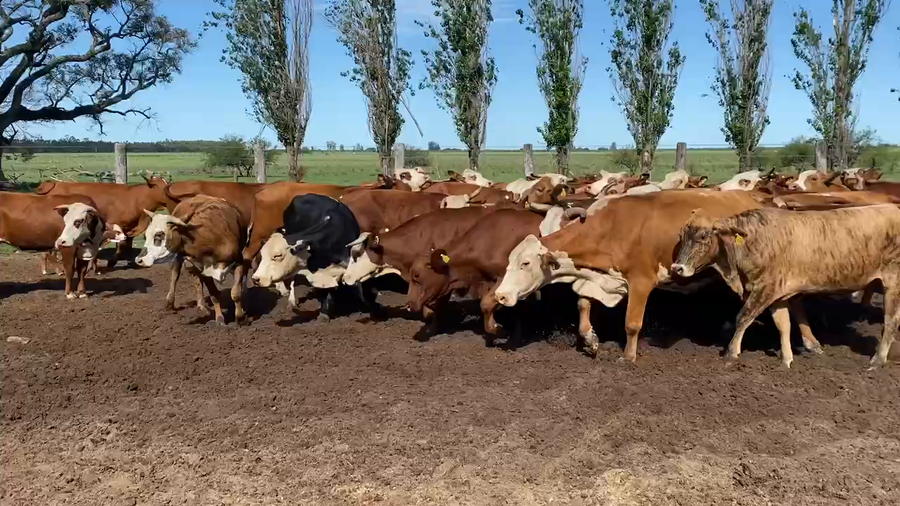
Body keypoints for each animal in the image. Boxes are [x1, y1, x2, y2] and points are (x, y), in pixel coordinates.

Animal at [35, 176, 171, 269]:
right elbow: (121, 245)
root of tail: (54, 183)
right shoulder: (117, 226)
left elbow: (127, 244)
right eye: (163, 188)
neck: (135, 199)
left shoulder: (130, 228)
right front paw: (111, 262)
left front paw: (130, 261)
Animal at [136, 196, 250, 325]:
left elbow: (236, 292)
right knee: (175, 275)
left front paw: (241, 318)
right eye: (146, 236)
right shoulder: (205, 270)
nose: (139, 260)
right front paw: (220, 318)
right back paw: (172, 302)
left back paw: (202, 306)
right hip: (180, 258)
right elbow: (214, 294)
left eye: (159, 235)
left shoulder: (239, 262)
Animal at [493, 190, 770, 362]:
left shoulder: (640, 282)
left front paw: (628, 356)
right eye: (509, 261)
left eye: (525, 263)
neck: (613, 227)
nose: (500, 295)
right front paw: (591, 339)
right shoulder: (600, 279)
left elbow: (632, 323)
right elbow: (583, 304)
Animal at [671, 205, 900, 369]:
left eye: (703, 237)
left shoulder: (765, 288)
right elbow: (784, 325)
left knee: (891, 320)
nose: (677, 267)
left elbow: (743, 317)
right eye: (681, 236)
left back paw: (878, 360)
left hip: (893, 283)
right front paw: (786, 360)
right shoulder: (778, 295)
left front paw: (731, 354)